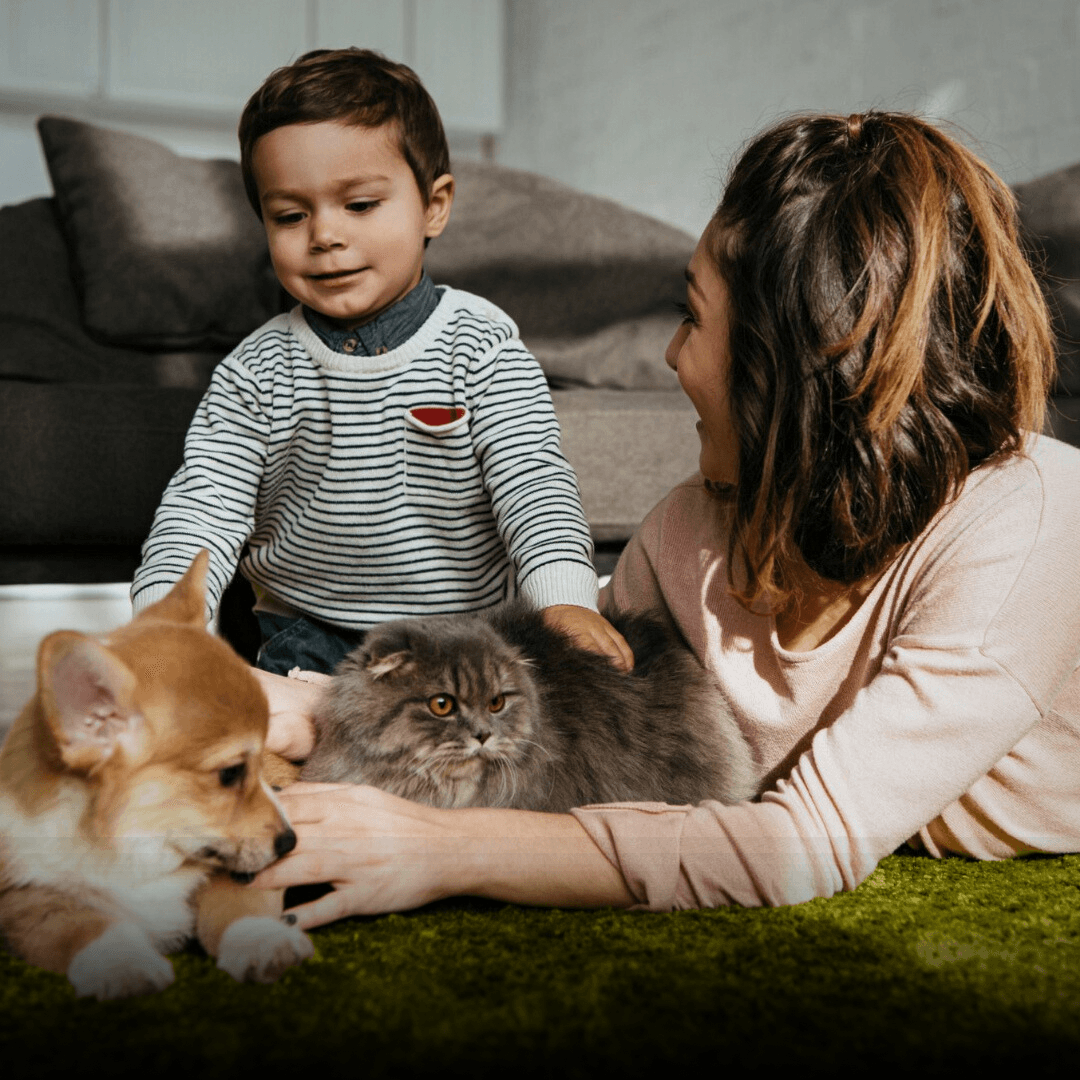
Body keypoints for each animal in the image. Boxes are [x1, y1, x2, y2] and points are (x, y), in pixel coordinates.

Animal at [0, 552, 313, 997]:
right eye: (231, 773)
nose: (291, 842)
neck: (136, 844)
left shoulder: (229, 872)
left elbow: (238, 904)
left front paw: (262, 940)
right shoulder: (25, 898)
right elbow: (81, 927)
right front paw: (123, 965)